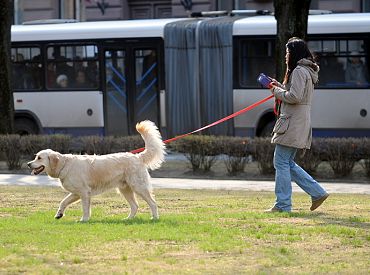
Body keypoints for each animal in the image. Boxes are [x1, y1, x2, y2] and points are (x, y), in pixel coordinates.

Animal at [28, 121, 166, 222]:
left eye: (39, 158)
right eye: (36, 157)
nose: (28, 164)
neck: (65, 164)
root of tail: (137, 157)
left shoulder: (84, 192)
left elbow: (85, 208)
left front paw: (84, 220)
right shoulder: (76, 193)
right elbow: (63, 201)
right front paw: (59, 214)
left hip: (138, 187)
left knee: (153, 203)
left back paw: (154, 218)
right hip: (125, 189)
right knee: (135, 206)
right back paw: (128, 219)